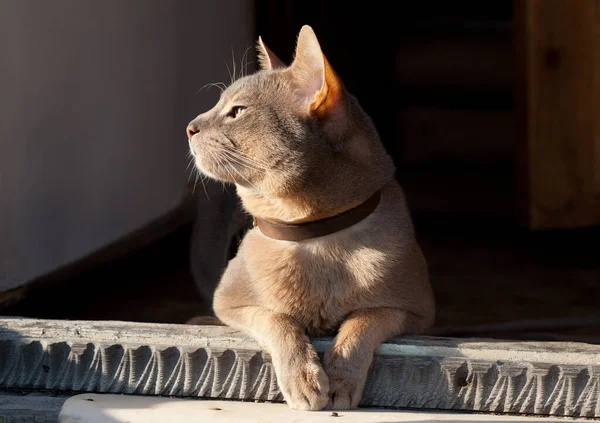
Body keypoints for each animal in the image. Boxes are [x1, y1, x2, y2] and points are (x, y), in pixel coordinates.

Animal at [185, 25, 434, 410]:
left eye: (237, 111)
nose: (190, 127)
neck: (313, 235)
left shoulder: (417, 311)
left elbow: (364, 319)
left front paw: (342, 376)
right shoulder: (229, 302)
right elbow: (277, 318)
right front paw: (303, 376)